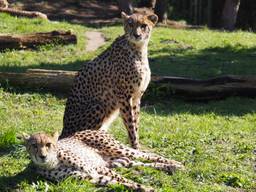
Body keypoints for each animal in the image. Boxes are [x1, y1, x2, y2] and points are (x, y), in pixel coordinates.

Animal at [22, 130, 183, 191]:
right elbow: (119, 182)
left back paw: (177, 164)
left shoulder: (96, 169)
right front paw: (143, 188)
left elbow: (124, 179)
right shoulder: (91, 177)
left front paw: (146, 187)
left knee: (147, 154)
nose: (42, 156)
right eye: (34, 146)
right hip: (118, 161)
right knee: (141, 163)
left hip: (117, 149)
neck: (53, 163)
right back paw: (170, 167)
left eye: (48, 145)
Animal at [61, 11, 158, 148]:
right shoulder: (124, 97)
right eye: (130, 24)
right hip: (98, 106)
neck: (138, 49)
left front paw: (136, 145)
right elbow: (130, 124)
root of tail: (63, 131)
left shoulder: (137, 96)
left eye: (144, 25)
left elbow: (136, 123)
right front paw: (135, 146)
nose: (137, 35)